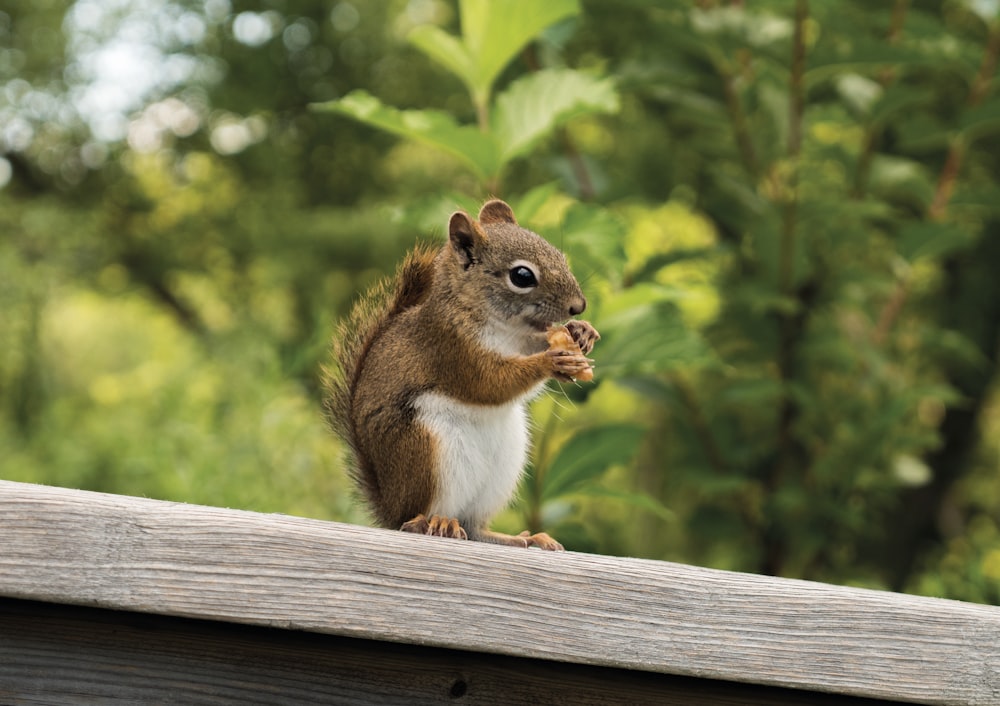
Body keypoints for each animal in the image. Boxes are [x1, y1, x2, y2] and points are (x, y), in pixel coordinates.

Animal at [324, 198, 596, 552]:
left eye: (560, 256)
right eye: (522, 276)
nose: (579, 306)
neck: (503, 328)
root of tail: (391, 507)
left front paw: (581, 333)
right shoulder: (451, 349)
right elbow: (490, 383)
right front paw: (550, 360)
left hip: (503, 467)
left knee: (475, 527)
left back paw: (522, 538)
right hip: (428, 452)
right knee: (416, 518)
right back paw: (433, 522)